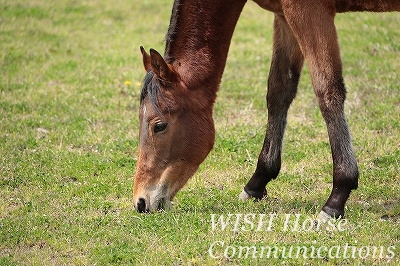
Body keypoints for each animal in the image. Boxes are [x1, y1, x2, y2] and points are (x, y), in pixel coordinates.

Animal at [133, 0, 398, 217]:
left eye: (159, 126)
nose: (141, 202)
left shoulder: (310, 11)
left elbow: (327, 91)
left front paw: (337, 197)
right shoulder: (284, 17)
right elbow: (279, 91)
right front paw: (257, 183)